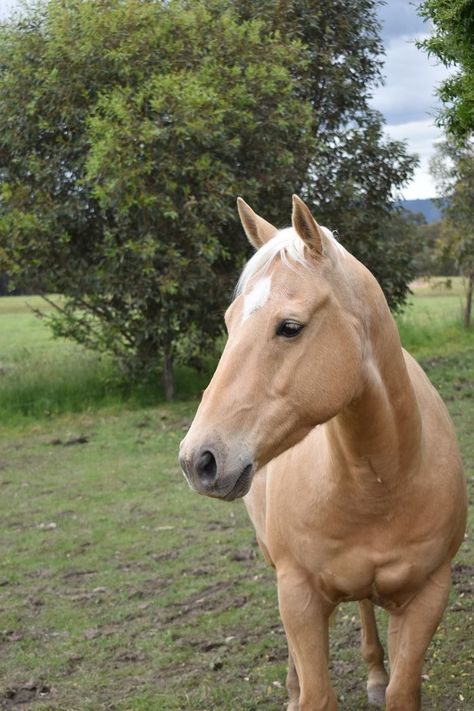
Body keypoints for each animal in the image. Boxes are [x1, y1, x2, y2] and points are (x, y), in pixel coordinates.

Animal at [181, 196, 466, 711]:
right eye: (230, 322)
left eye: (290, 327)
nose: (199, 459)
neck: (382, 482)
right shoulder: (299, 595)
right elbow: (316, 692)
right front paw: (301, 692)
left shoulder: (428, 595)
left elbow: (402, 690)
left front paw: (383, 680)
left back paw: (374, 672)